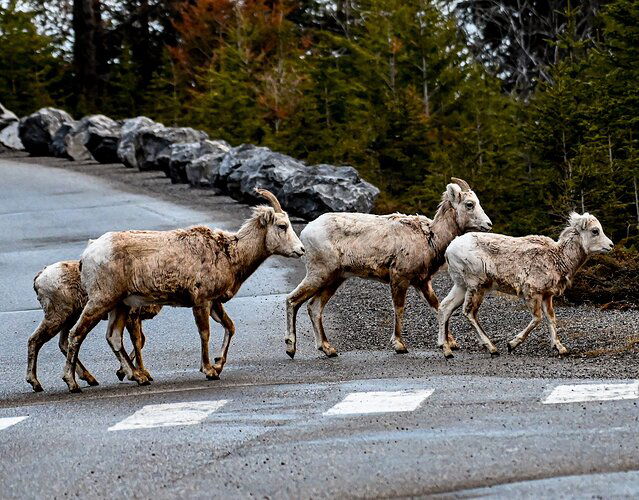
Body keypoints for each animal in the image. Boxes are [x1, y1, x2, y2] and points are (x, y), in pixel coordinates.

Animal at [26, 260, 162, 392]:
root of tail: (40, 276)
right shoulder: (132, 316)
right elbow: (137, 341)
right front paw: (141, 374)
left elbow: (141, 340)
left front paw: (125, 372)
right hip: (58, 316)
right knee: (35, 340)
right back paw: (37, 384)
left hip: (71, 317)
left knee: (63, 342)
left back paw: (89, 379)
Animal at [60, 189, 304, 392]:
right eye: (282, 226)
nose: (300, 250)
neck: (229, 254)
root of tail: (87, 254)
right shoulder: (201, 301)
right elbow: (205, 333)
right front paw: (209, 370)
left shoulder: (214, 302)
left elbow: (230, 327)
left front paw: (218, 365)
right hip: (101, 300)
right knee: (76, 334)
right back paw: (73, 383)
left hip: (119, 305)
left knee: (114, 337)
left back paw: (139, 377)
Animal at [286, 178, 496, 358]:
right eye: (469, 204)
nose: (488, 224)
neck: (430, 238)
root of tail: (306, 233)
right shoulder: (399, 278)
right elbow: (399, 308)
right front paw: (400, 345)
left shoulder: (422, 282)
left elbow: (437, 306)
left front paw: (451, 342)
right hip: (319, 274)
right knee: (292, 300)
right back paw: (291, 348)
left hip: (334, 279)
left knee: (314, 307)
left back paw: (328, 349)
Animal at [438, 213, 612, 358]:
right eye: (595, 231)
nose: (610, 245)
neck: (558, 258)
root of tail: (449, 250)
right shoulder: (532, 293)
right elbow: (537, 318)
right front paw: (511, 344)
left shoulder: (547, 295)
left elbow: (551, 318)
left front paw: (561, 348)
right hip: (476, 285)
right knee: (469, 312)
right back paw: (492, 348)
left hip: (461, 286)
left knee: (445, 307)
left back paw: (446, 350)